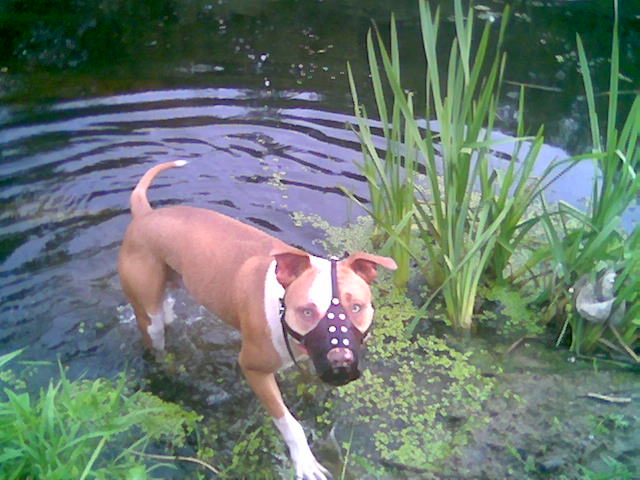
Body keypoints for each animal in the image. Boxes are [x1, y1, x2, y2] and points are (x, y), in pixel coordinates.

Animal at [118, 161, 397, 479]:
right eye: (307, 311)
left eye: (357, 307)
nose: (340, 360)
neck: (282, 307)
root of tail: (146, 214)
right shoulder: (254, 369)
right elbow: (290, 422)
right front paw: (304, 460)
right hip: (148, 315)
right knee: (157, 344)